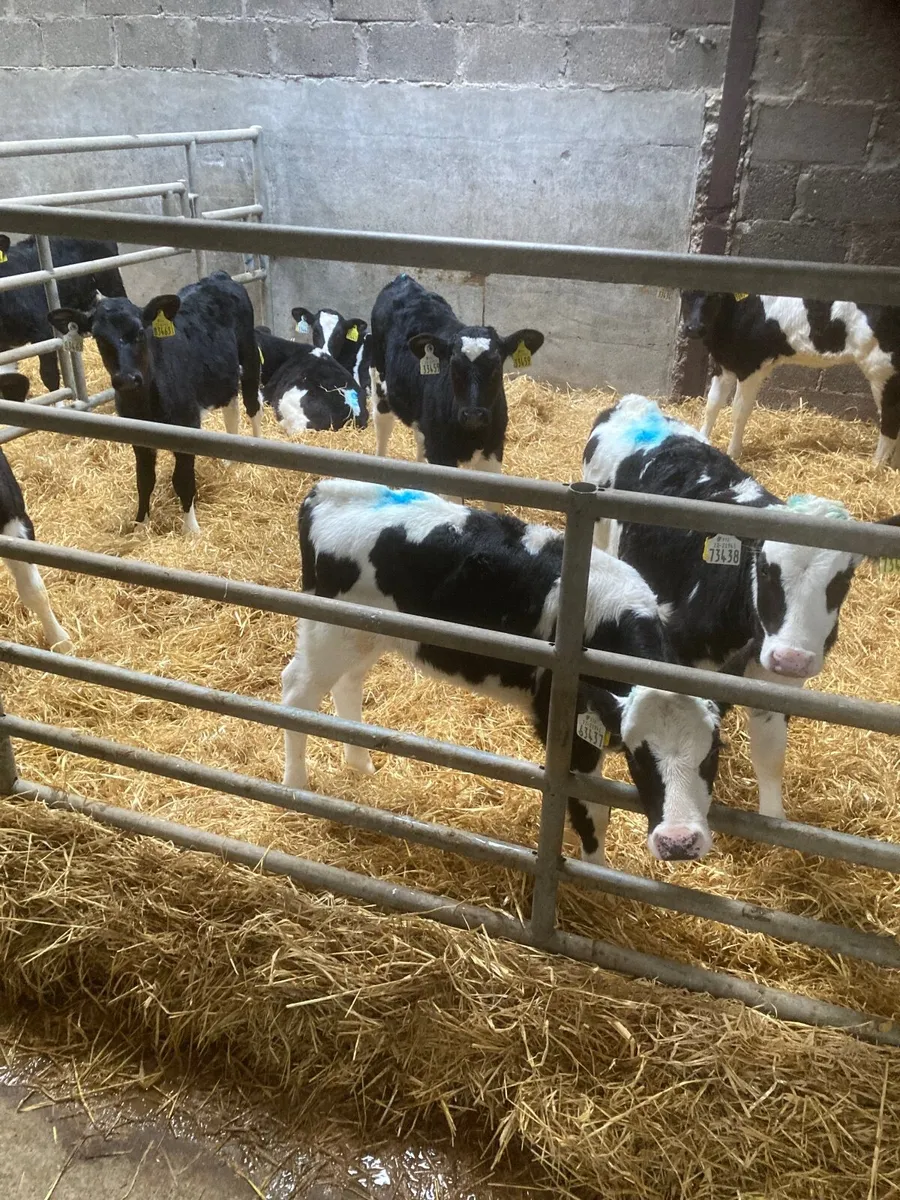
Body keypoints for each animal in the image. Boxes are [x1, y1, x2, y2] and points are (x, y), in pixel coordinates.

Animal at [48, 272, 260, 536]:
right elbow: (144, 480)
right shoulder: (137, 436)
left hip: (250, 357)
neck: (145, 406)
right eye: (98, 337)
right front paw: (141, 524)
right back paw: (230, 462)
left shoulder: (187, 425)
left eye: (140, 331)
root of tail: (217, 277)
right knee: (231, 409)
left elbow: (183, 479)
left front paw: (191, 530)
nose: (127, 378)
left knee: (253, 406)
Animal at [280, 479, 725, 866]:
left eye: (711, 755)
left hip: (363, 636)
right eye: (638, 758)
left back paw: (360, 764)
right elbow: (592, 810)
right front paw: (596, 873)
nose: (679, 842)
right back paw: (296, 786)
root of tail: (328, 490)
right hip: (327, 631)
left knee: (347, 684)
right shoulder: (564, 724)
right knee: (297, 693)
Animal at [368, 274, 544, 499]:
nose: (474, 415)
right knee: (382, 425)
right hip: (379, 380)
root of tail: (403, 279)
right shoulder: (443, 457)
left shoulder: (494, 450)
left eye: (496, 365)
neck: (472, 436)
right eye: (453, 365)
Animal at [582, 392, 899, 819]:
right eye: (764, 569)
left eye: (843, 580)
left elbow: (770, 756)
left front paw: (773, 820)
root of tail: (635, 404)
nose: (791, 659)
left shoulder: (776, 685)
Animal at [681, 290, 900, 465]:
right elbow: (712, 405)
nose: (694, 328)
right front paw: (701, 439)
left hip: (881, 368)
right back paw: (893, 466)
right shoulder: (723, 367)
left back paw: (875, 468)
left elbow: (739, 412)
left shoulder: (751, 368)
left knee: (890, 419)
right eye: (686, 294)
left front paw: (733, 453)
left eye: (716, 297)